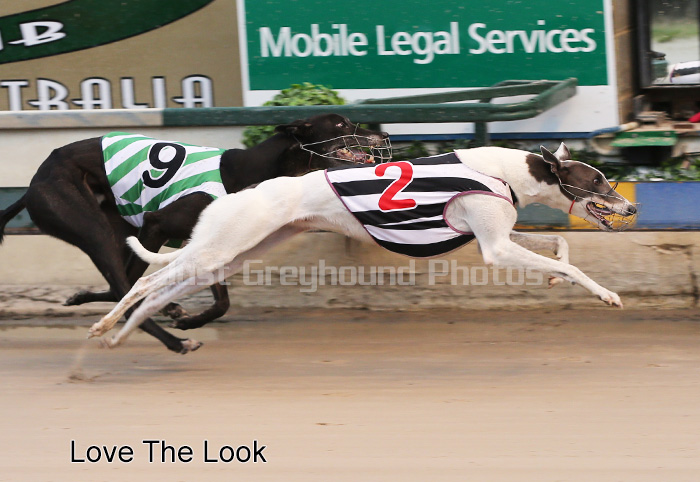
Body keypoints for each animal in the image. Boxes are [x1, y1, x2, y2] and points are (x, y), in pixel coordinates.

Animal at [0, 114, 390, 353]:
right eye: (340, 123)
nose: (384, 134)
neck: (245, 169)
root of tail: (30, 187)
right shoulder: (156, 224)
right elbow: (134, 285)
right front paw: (179, 321)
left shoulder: (210, 242)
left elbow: (221, 302)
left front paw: (188, 319)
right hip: (91, 225)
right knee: (122, 282)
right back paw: (172, 341)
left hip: (116, 222)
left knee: (120, 282)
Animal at [88, 143, 638, 349]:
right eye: (597, 180)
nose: (631, 209)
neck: (503, 171)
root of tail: (229, 200)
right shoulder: (495, 248)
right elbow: (574, 269)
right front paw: (607, 294)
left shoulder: (498, 234)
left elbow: (559, 247)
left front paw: (555, 269)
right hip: (219, 250)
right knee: (149, 281)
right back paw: (110, 324)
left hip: (232, 255)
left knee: (157, 286)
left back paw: (122, 331)